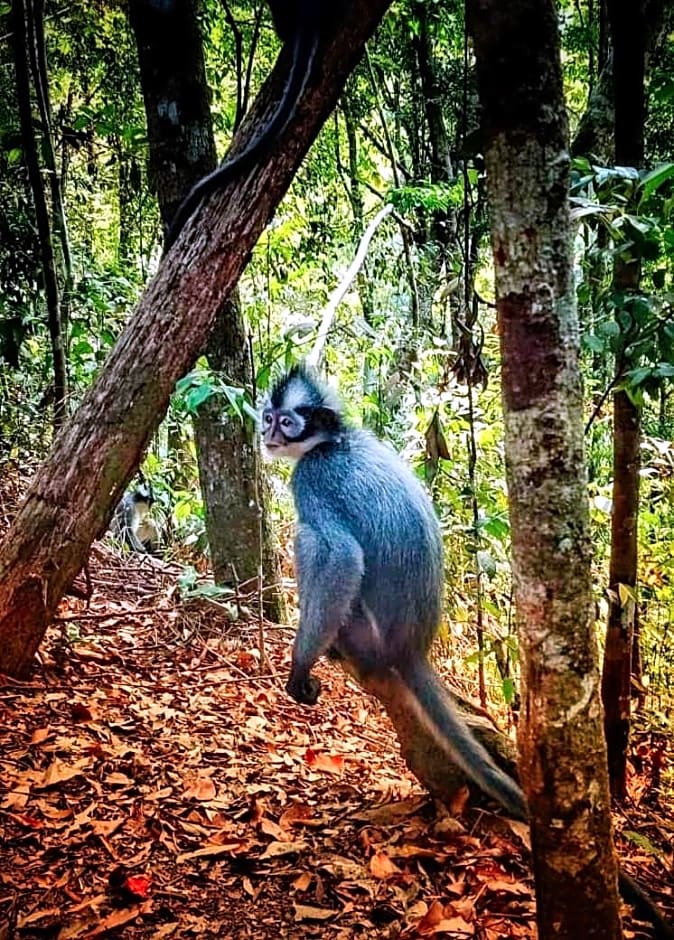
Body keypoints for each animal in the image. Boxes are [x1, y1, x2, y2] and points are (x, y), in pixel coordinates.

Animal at [262, 364, 672, 936]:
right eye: (268, 416)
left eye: (287, 421)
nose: (267, 433)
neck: (335, 441)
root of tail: (409, 648)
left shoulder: (314, 479)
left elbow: (340, 556)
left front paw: (300, 664)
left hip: (363, 630)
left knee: (313, 544)